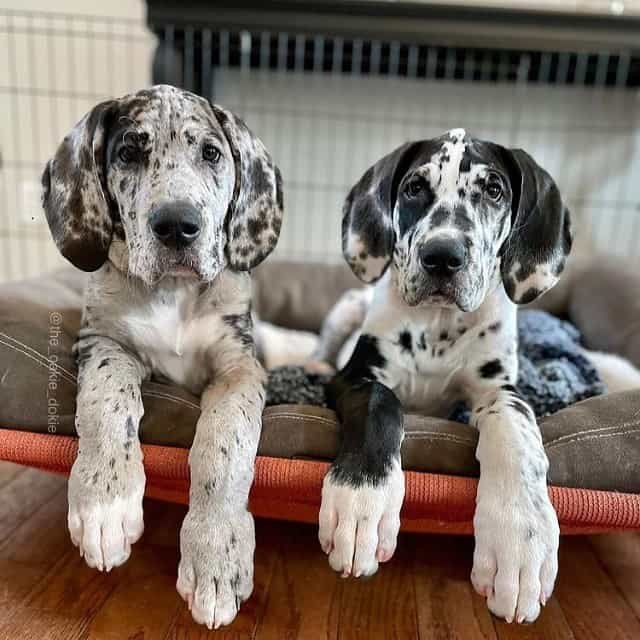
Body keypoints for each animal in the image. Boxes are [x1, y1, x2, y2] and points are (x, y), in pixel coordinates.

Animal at [43, 82, 284, 628]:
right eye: (129, 153)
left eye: (212, 154)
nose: (177, 226)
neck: (173, 292)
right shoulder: (102, 342)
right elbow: (106, 400)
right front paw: (105, 501)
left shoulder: (240, 366)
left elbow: (225, 441)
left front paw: (215, 552)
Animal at [318, 129, 572, 624]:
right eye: (415, 187)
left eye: (493, 190)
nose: (442, 256)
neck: (437, 323)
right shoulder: (357, 376)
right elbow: (380, 404)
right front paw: (361, 503)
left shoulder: (498, 389)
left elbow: (517, 434)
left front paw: (520, 537)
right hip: (346, 309)